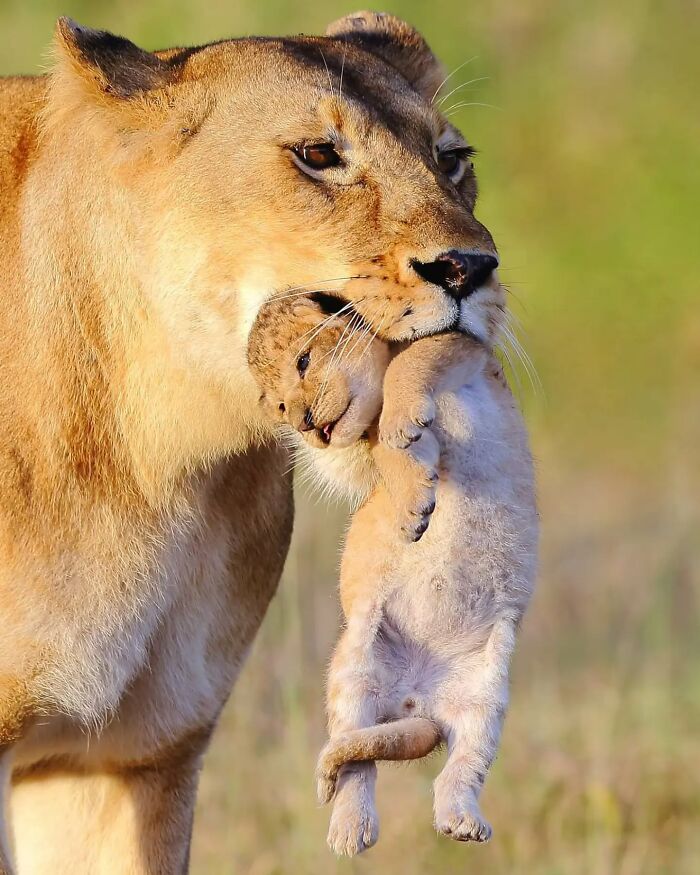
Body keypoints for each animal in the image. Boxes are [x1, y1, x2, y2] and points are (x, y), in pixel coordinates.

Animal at [247, 291, 537, 856]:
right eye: (276, 405)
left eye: (303, 361)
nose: (304, 425)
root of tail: (414, 699)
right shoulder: (363, 455)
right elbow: (385, 452)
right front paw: (412, 504)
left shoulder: (466, 347)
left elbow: (412, 364)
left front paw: (404, 425)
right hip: (353, 676)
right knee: (356, 765)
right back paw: (350, 831)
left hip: (485, 700)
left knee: (461, 768)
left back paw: (461, 821)